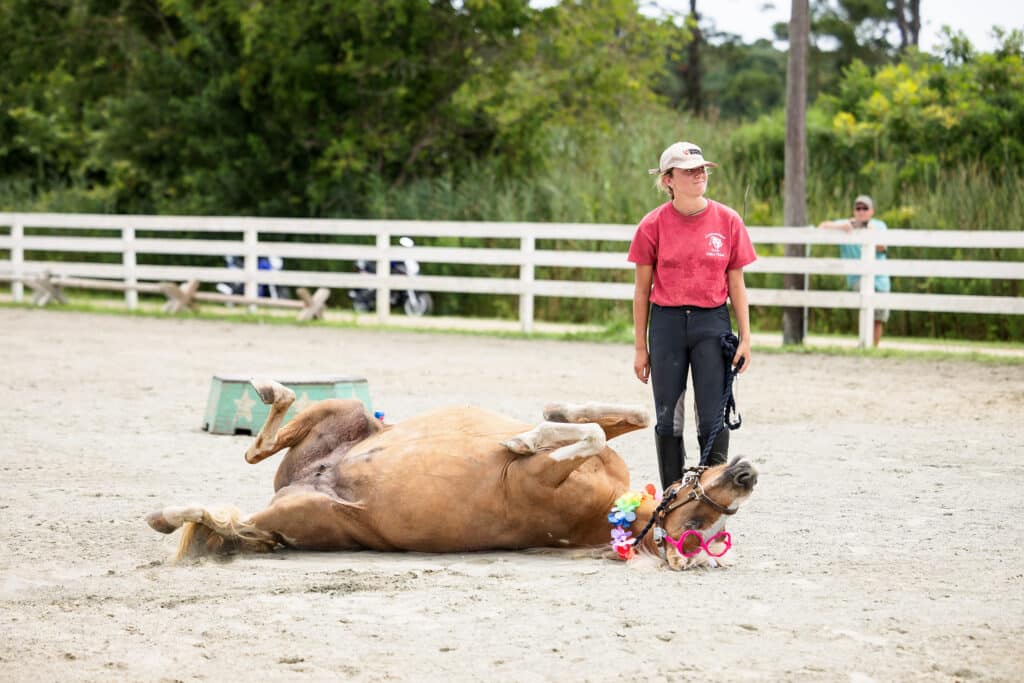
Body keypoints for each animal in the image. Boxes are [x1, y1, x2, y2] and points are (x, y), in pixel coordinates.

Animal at [144, 378, 757, 573]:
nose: (747, 472)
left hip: (301, 513)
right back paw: (272, 390)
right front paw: (548, 417)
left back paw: (165, 516)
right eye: (698, 511)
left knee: (230, 521)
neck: (615, 509)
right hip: (344, 412)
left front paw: (524, 438)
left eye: (697, 530)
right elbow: (618, 419)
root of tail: (309, 481)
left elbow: (591, 435)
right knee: (260, 447)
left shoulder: (537, 480)